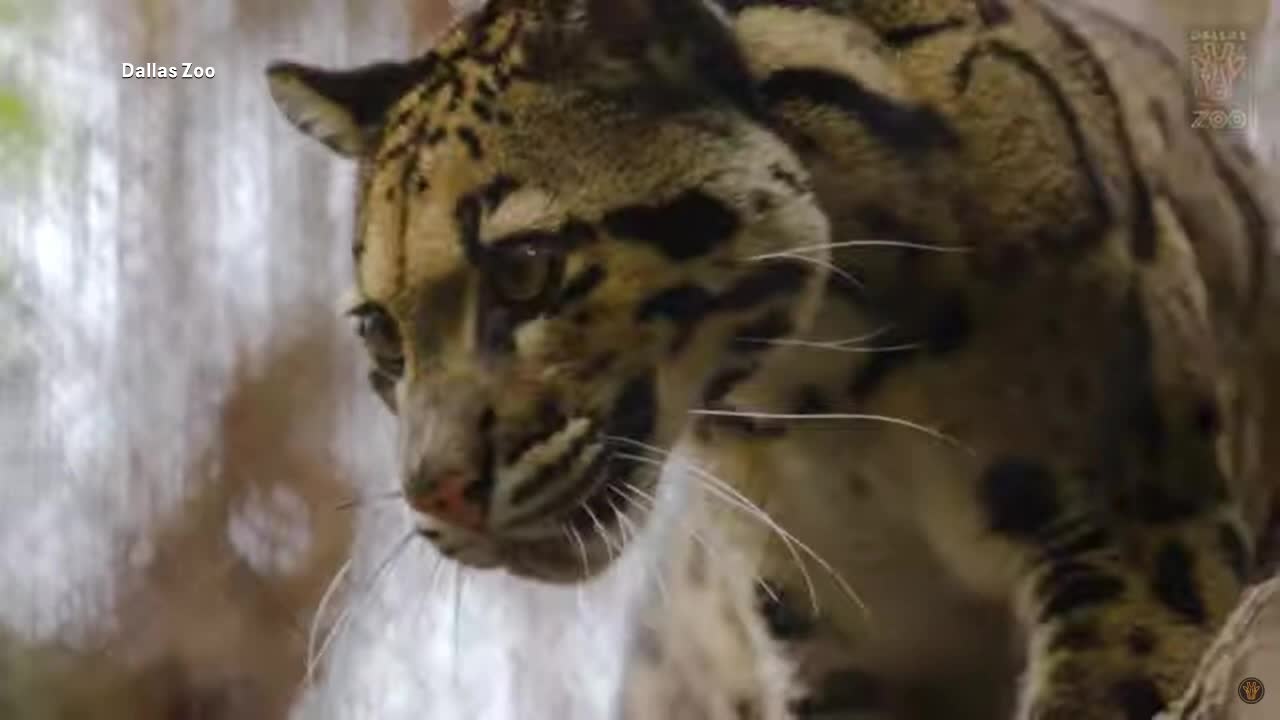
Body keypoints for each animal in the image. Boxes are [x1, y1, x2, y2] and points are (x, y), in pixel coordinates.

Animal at [263, 0, 1279, 718]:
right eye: (379, 334)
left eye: (524, 270)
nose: (435, 493)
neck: (828, 396)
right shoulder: (861, 641)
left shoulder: (1136, 537)